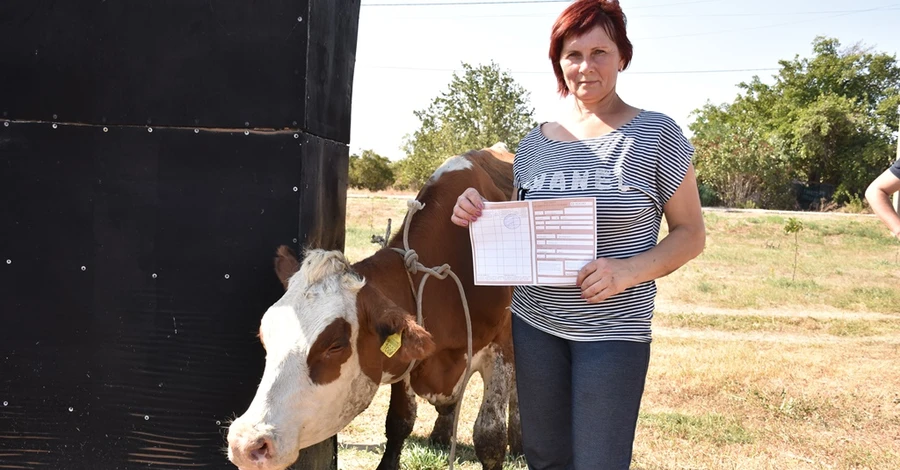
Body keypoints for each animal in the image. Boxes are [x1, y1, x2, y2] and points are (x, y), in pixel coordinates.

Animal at [225, 145, 520, 470]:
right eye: (265, 337)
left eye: (336, 345)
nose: (245, 443)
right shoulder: (408, 358)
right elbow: (400, 422)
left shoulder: (502, 348)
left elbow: (490, 437)